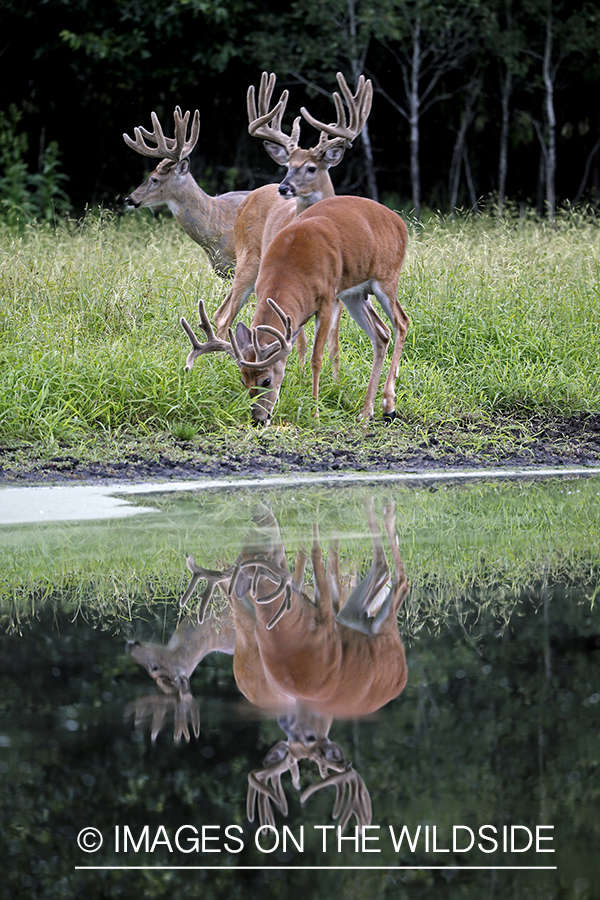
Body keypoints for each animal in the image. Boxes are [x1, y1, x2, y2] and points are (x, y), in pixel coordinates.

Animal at [180, 194, 410, 426]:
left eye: (266, 380)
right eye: (243, 380)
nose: (258, 419)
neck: (290, 269)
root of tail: (400, 223)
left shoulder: (327, 299)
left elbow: (316, 359)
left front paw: (315, 413)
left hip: (387, 278)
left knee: (402, 322)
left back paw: (389, 407)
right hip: (354, 294)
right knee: (381, 333)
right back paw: (366, 412)